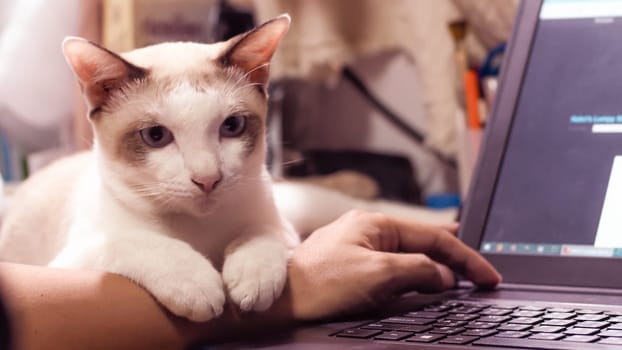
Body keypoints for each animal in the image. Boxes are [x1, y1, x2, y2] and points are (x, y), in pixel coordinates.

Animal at [0, 15, 300, 322]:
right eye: (156, 136)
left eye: (232, 126)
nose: (207, 179)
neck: (199, 228)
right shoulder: (73, 260)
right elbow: (133, 242)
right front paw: (197, 283)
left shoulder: (284, 229)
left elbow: (263, 233)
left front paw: (253, 277)